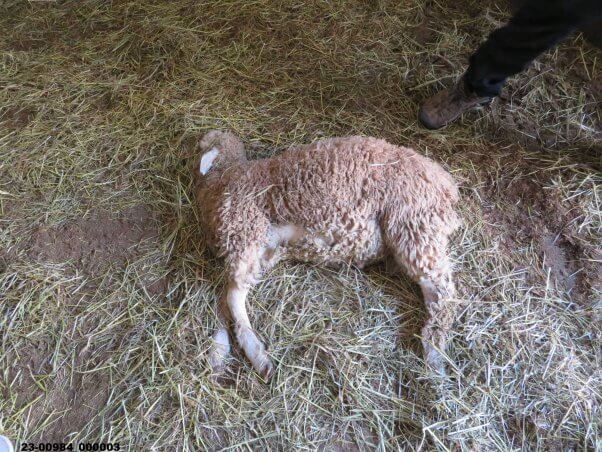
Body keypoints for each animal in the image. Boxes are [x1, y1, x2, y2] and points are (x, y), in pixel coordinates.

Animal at [192, 131, 460, 382]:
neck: (224, 176)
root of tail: (448, 187)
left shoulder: (245, 231)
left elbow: (231, 297)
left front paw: (230, 350)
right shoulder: (263, 248)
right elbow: (224, 299)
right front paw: (218, 350)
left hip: (413, 224)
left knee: (442, 293)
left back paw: (434, 354)